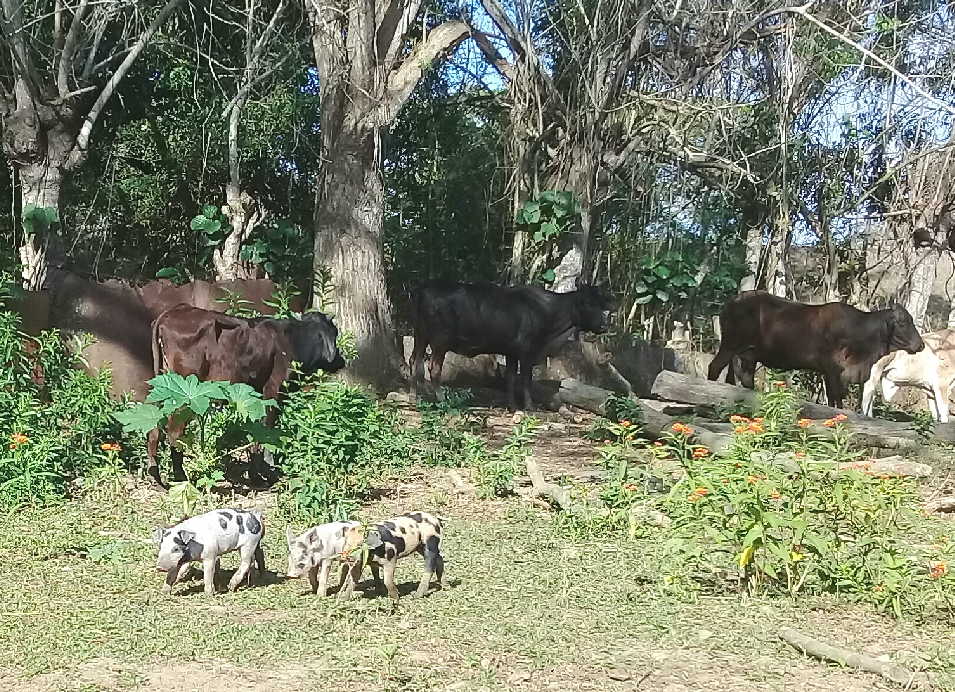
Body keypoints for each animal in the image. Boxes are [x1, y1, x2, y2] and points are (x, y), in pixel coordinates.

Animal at [148, 306, 346, 490]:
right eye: (334, 333)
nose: (340, 359)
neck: (294, 340)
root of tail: (170, 313)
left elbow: (257, 431)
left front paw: (261, 473)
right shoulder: (273, 390)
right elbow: (266, 432)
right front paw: (264, 475)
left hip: (162, 386)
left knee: (154, 428)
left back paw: (157, 479)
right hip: (185, 393)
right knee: (174, 432)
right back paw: (181, 478)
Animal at [410, 282, 612, 410]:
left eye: (601, 303)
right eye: (587, 303)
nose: (604, 324)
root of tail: (424, 289)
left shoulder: (511, 352)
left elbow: (510, 377)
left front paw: (513, 405)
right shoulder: (527, 351)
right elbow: (525, 379)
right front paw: (529, 406)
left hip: (420, 336)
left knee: (414, 362)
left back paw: (413, 396)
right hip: (440, 341)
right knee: (433, 367)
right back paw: (441, 399)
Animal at [704, 290, 924, 408]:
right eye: (903, 322)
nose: (920, 345)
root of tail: (730, 303)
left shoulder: (829, 372)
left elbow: (833, 400)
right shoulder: (834, 370)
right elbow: (837, 400)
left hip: (747, 355)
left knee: (743, 379)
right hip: (730, 345)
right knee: (714, 368)